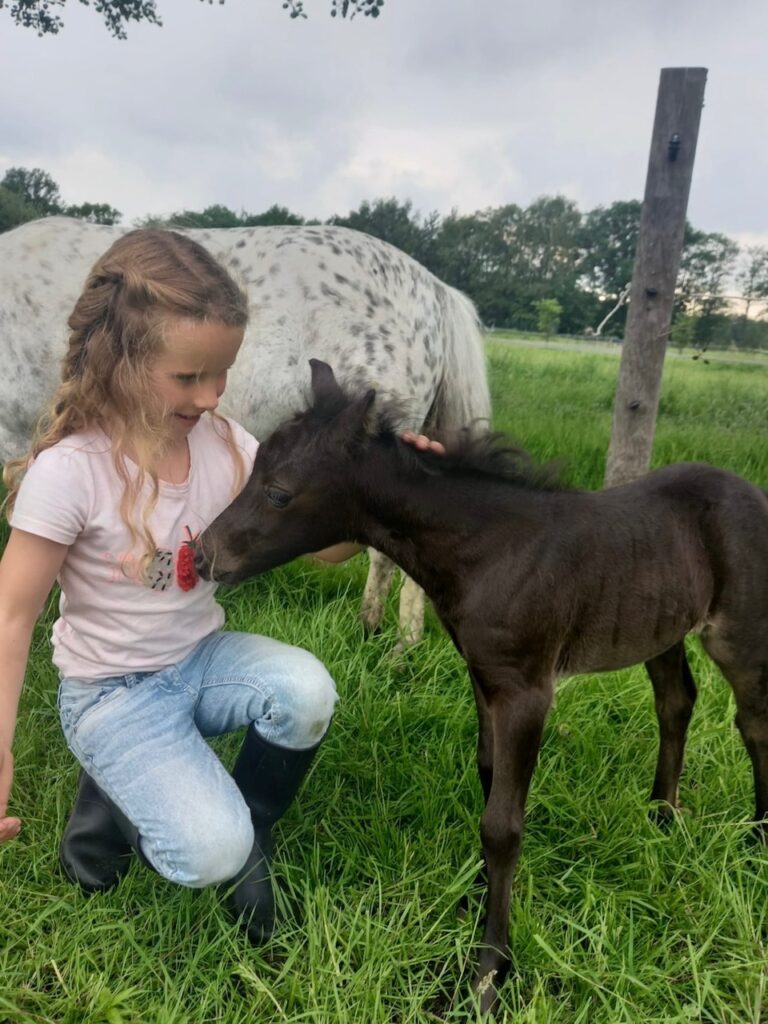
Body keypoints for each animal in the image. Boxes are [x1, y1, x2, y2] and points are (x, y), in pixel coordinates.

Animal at [196, 360, 768, 1015]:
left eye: (279, 492)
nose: (203, 554)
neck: (485, 550)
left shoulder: (527, 690)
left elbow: (503, 824)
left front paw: (489, 973)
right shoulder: (482, 676)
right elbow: (490, 782)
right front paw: (476, 899)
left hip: (739, 630)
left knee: (753, 720)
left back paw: (757, 838)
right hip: (661, 627)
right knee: (676, 700)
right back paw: (664, 817)